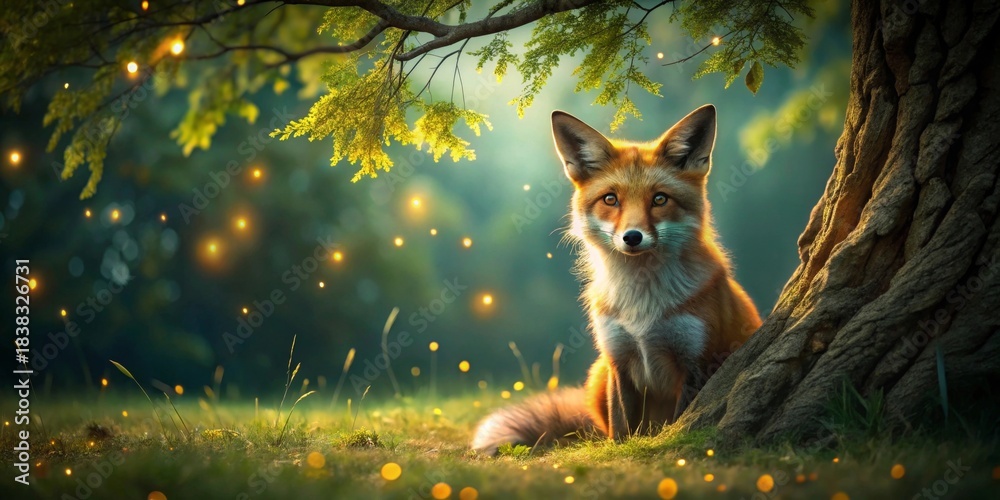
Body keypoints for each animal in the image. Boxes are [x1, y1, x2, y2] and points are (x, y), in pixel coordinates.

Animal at [471, 105, 762, 455]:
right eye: (611, 199)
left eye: (660, 199)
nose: (632, 237)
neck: (642, 310)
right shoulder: (618, 360)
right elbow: (622, 429)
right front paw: (623, 446)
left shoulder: (696, 363)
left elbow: (680, 419)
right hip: (598, 374)